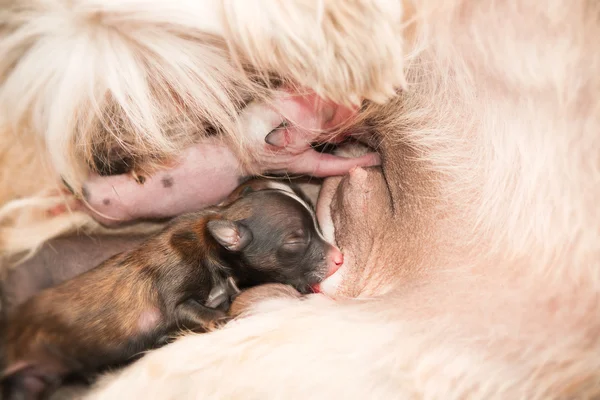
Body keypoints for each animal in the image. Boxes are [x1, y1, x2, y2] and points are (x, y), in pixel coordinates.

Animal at [0, 181, 344, 400]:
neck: (214, 247)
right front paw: (226, 320)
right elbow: (202, 312)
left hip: (33, 379)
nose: (339, 257)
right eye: (296, 240)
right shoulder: (175, 298)